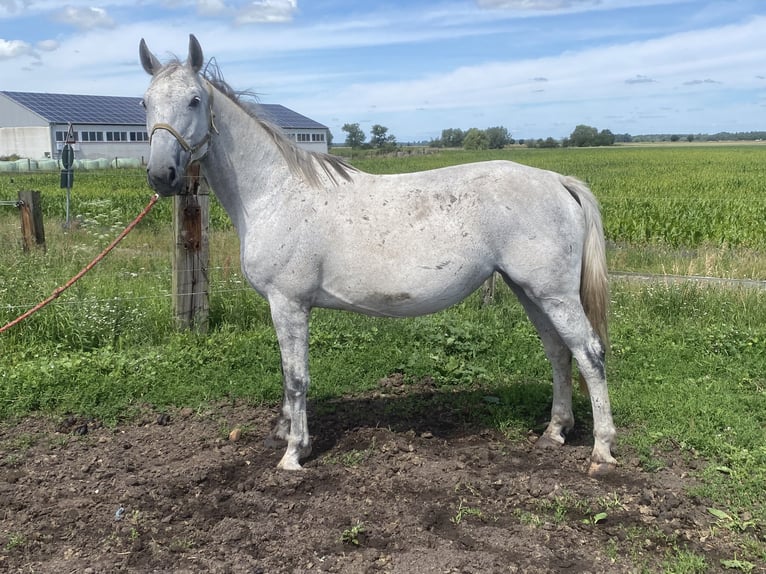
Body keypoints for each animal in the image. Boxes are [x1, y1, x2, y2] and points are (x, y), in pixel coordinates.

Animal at [138, 35, 616, 476]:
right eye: (145, 102)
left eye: (195, 99)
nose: (162, 175)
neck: (274, 192)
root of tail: (556, 180)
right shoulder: (284, 305)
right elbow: (287, 373)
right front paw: (283, 431)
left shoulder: (288, 303)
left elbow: (296, 377)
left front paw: (293, 452)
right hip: (528, 290)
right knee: (559, 351)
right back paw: (555, 431)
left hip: (553, 294)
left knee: (589, 353)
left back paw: (602, 450)